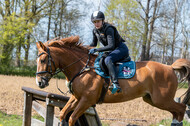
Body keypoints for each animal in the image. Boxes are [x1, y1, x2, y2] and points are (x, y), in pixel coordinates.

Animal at [35, 35, 190, 126]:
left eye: (43, 60)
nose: (40, 82)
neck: (82, 68)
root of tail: (170, 67)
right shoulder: (76, 98)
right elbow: (63, 114)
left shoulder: (86, 101)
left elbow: (72, 118)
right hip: (151, 99)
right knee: (176, 111)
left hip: (162, 99)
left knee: (181, 108)